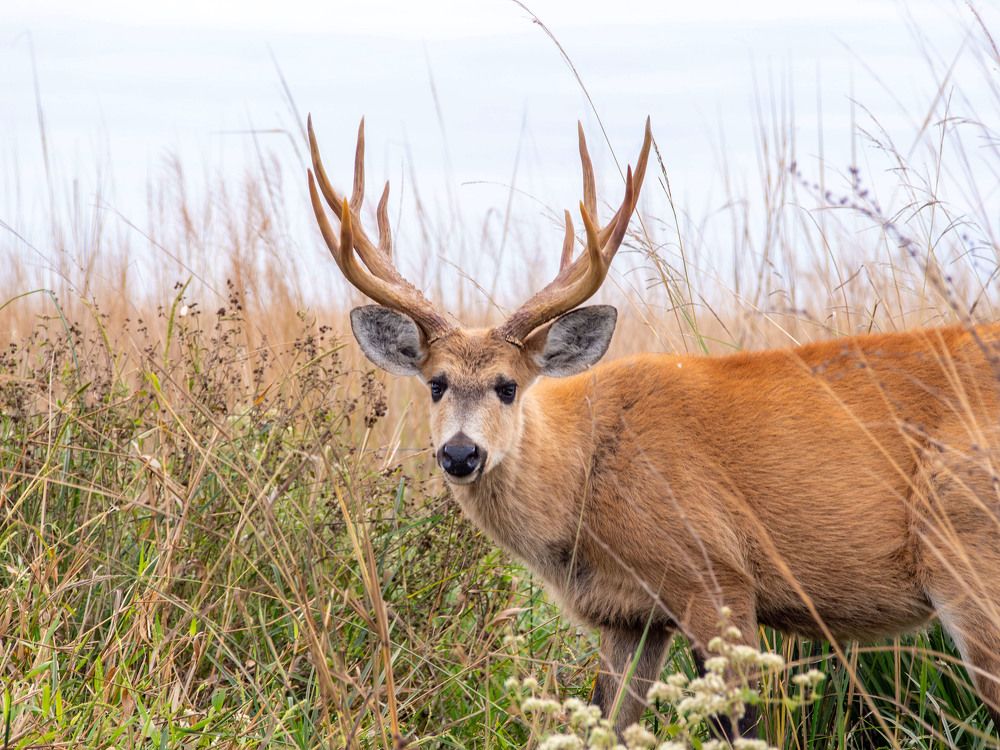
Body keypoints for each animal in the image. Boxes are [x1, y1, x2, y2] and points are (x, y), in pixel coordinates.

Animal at [305, 115, 1000, 739]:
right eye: (436, 382)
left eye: (508, 385)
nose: (458, 454)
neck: (586, 478)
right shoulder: (630, 618)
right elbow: (605, 725)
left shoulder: (714, 574)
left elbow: (741, 727)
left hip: (968, 549)